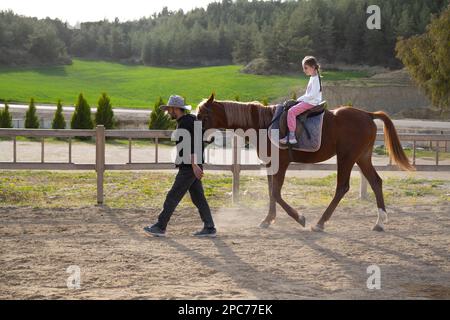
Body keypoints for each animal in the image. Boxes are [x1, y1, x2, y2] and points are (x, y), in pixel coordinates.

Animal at [198, 94, 414, 231]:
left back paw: (320, 223)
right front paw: (268, 219)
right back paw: (380, 222)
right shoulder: (271, 164)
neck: (264, 124)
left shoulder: (281, 163)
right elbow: (271, 191)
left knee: (342, 187)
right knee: (376, 182)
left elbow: (276, 192)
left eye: (203, 116)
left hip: (346, 157)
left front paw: (298, 217)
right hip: (362, 157)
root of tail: (367, 114)